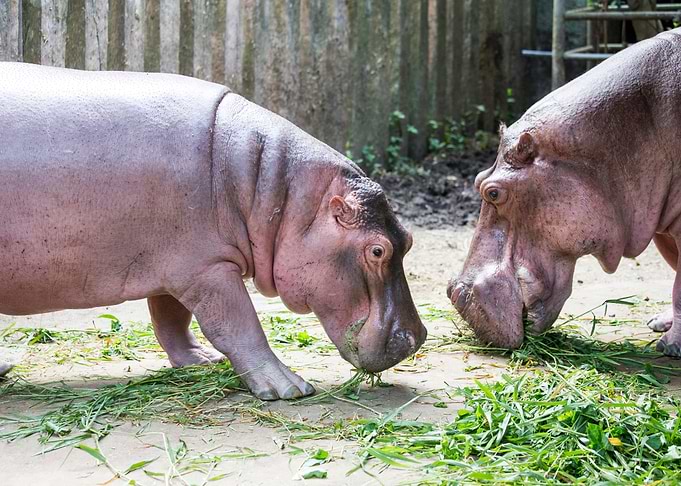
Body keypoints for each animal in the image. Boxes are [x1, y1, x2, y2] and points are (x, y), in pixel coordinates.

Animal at [0, 62, 426, 399]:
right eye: (377, 250)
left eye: (408, 239)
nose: (417, 337)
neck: (277, 192)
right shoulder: (207, 269)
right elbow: (238, 323)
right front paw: (289, 388)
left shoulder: (175, 262)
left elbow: (171, 316)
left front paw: (200, 361)